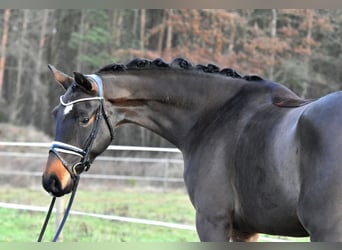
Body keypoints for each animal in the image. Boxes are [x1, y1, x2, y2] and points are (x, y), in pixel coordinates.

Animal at [43, 57, 342, 241]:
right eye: (55, 113)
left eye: (84, 118)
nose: (52, 179)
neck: (215, 114)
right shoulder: (246, 229)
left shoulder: (212, 222)